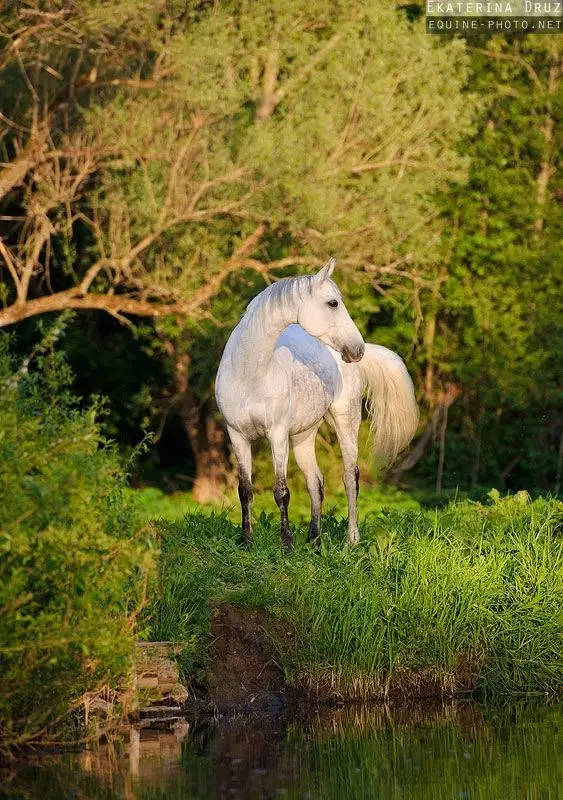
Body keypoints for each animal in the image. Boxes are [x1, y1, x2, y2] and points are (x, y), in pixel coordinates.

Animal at [216, 260, 418, 552]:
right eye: (333, 303)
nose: (357, 349)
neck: (249, 374)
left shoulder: (277, 435)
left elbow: (281, 491)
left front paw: (287, 545)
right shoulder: (237, 435)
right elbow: (245, 490)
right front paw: (246, 542)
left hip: (345, 421)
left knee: (350, 477)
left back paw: (351, 540)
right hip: (303, 435)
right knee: (316, 482)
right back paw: (315, 540)